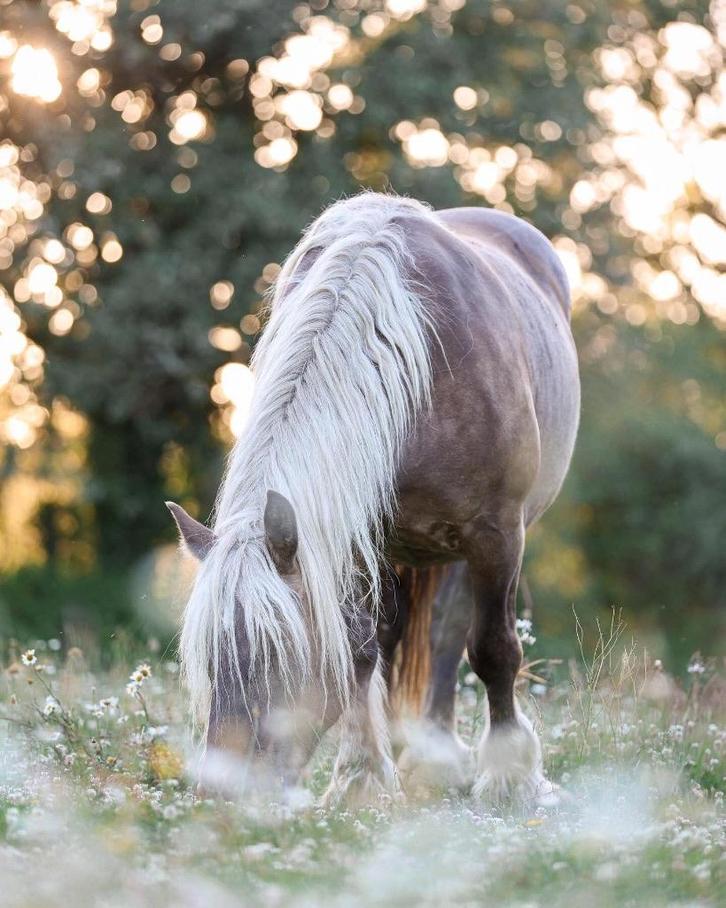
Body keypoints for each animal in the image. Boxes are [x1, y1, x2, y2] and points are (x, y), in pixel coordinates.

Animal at [167, 191, 580, 805]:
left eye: (275, 655)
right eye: (210, 659)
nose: (223, 794)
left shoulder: (498, 533)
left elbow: (493, 650)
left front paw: (511, 778)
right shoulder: (357, 539)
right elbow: (361, 650)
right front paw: (360, 779)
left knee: (450, 631)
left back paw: (439, 754)